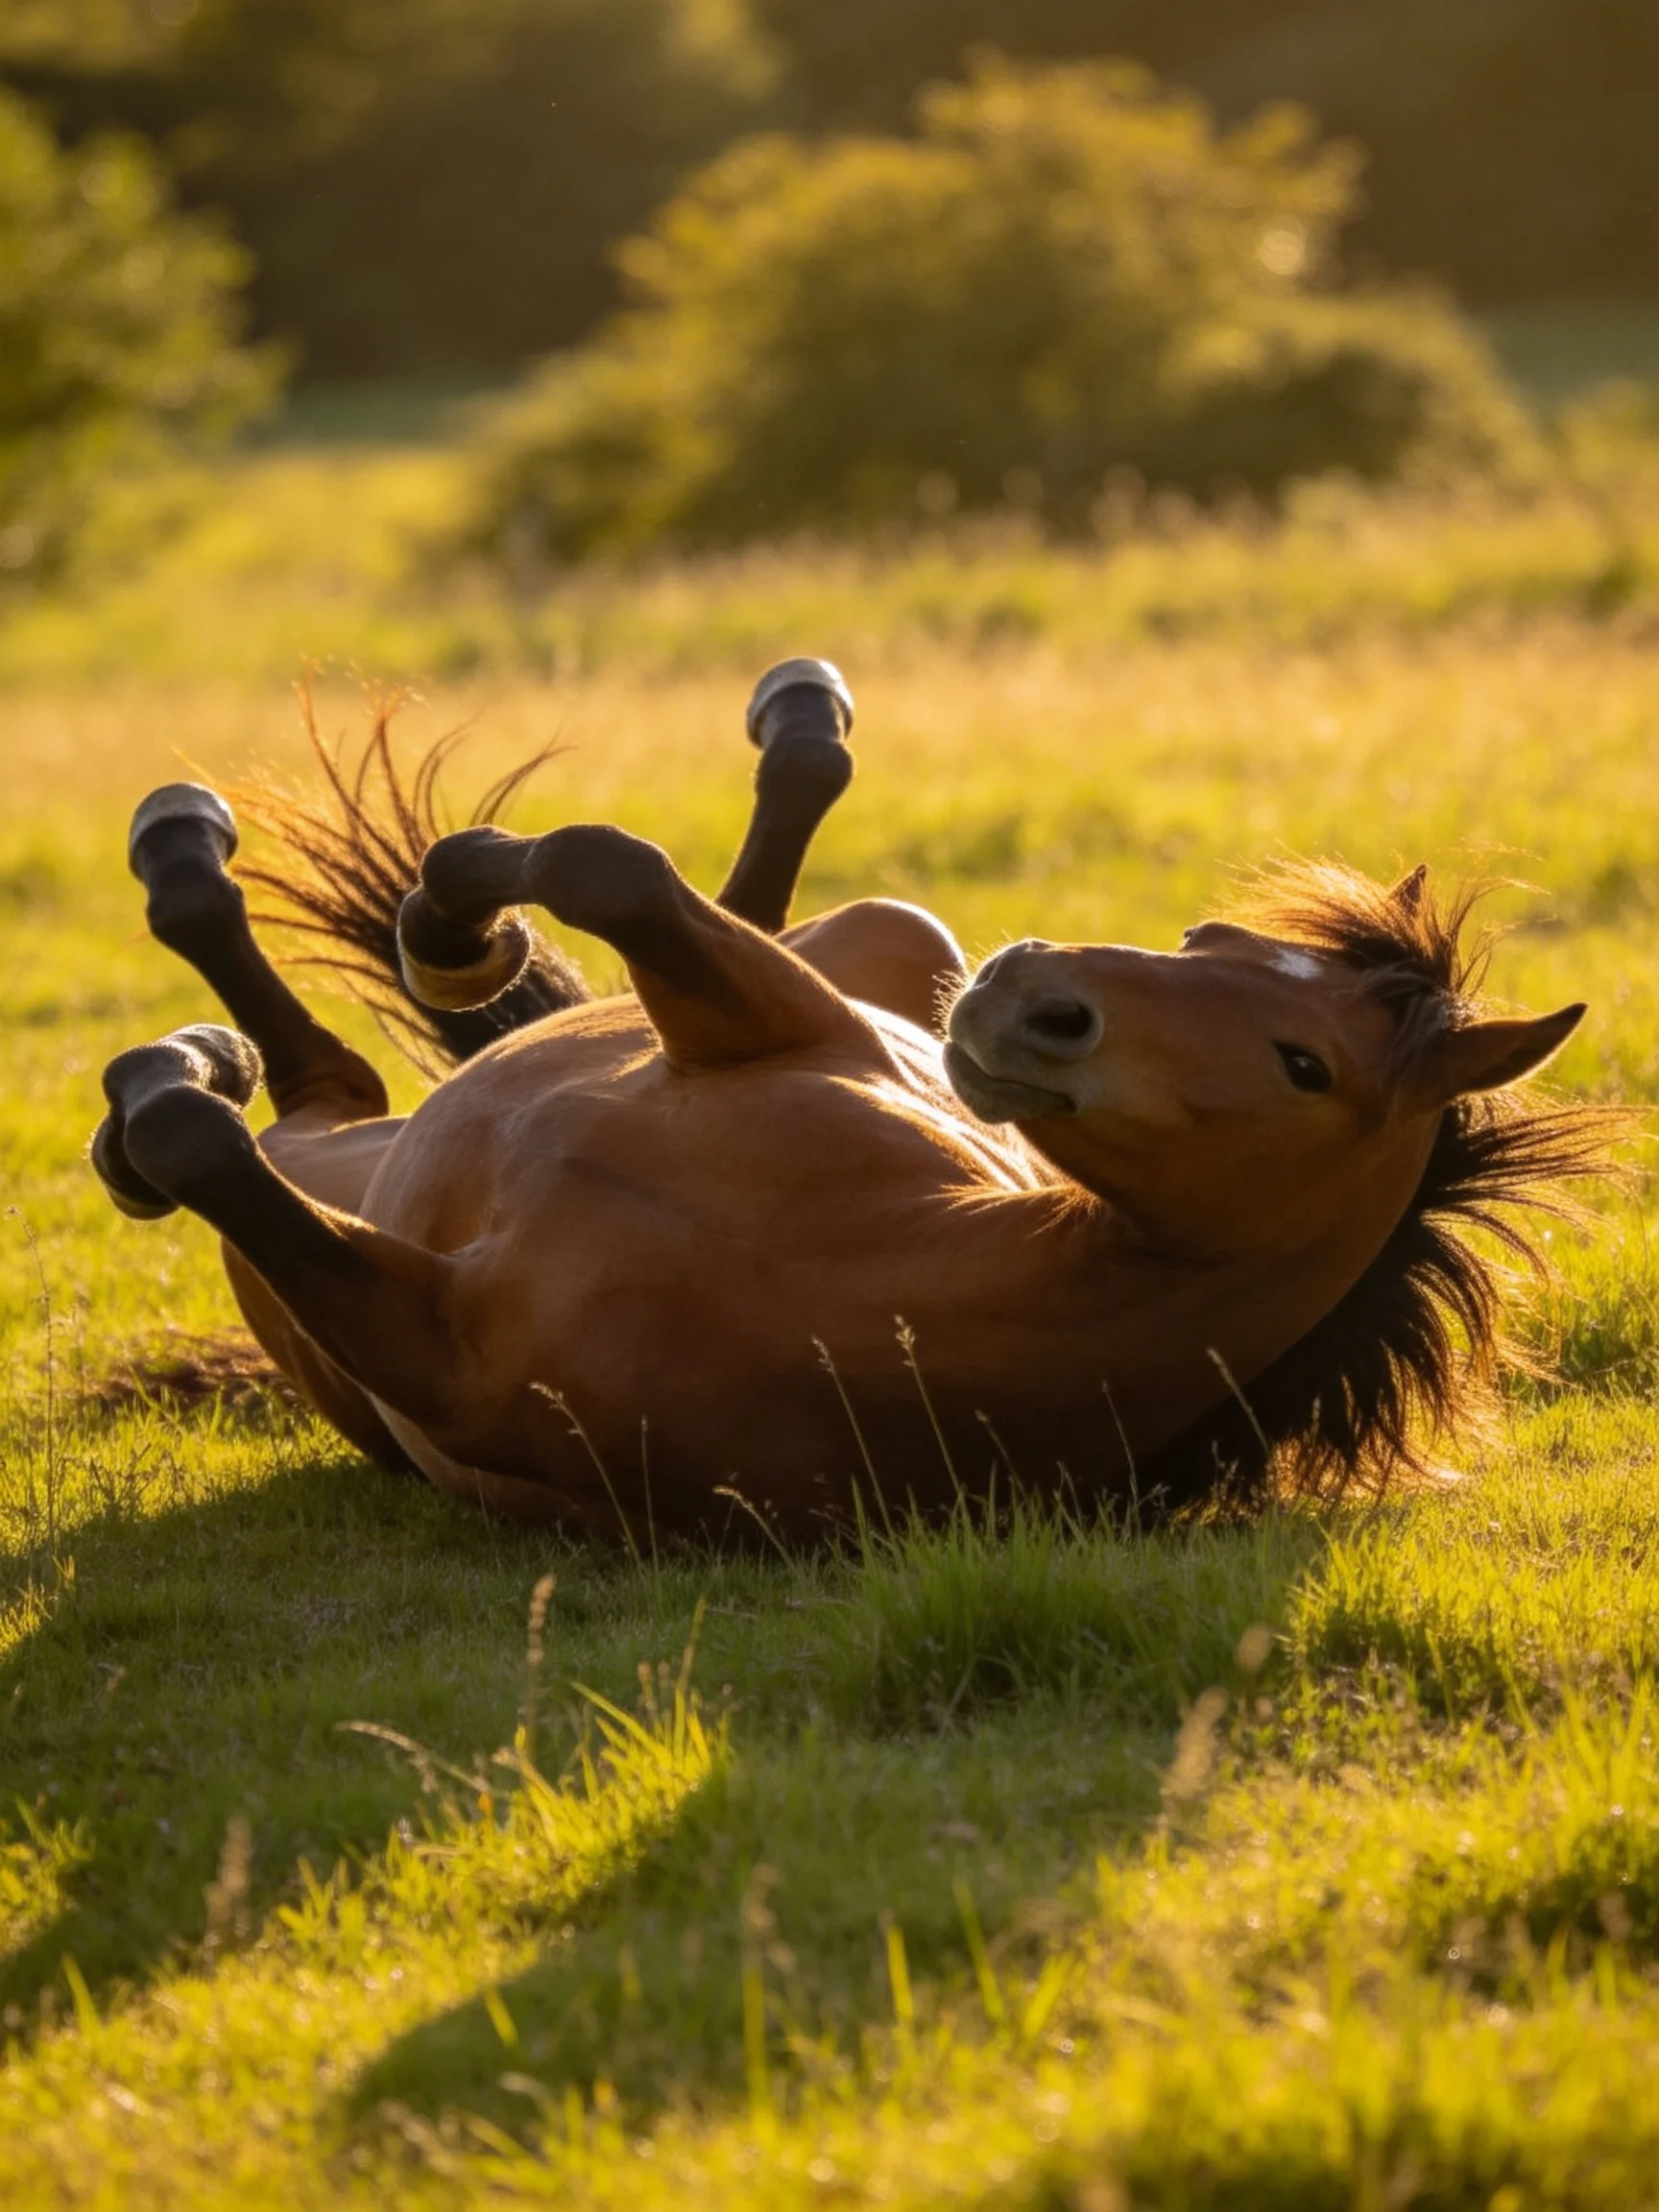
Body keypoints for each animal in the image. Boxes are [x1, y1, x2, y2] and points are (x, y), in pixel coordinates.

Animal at [89, 659, 1604, 1545]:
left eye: (1307, 1066)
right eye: (1205, 939)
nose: (1023, 992)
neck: (860, 1300)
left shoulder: (435, 1350)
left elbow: (198, 1141)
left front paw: (170, 1093)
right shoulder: (782, 1024)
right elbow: (608, 865)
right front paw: (455, 924)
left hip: (336, 1201)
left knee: (295, 1091)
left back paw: (184, 977)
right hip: (869, 940)